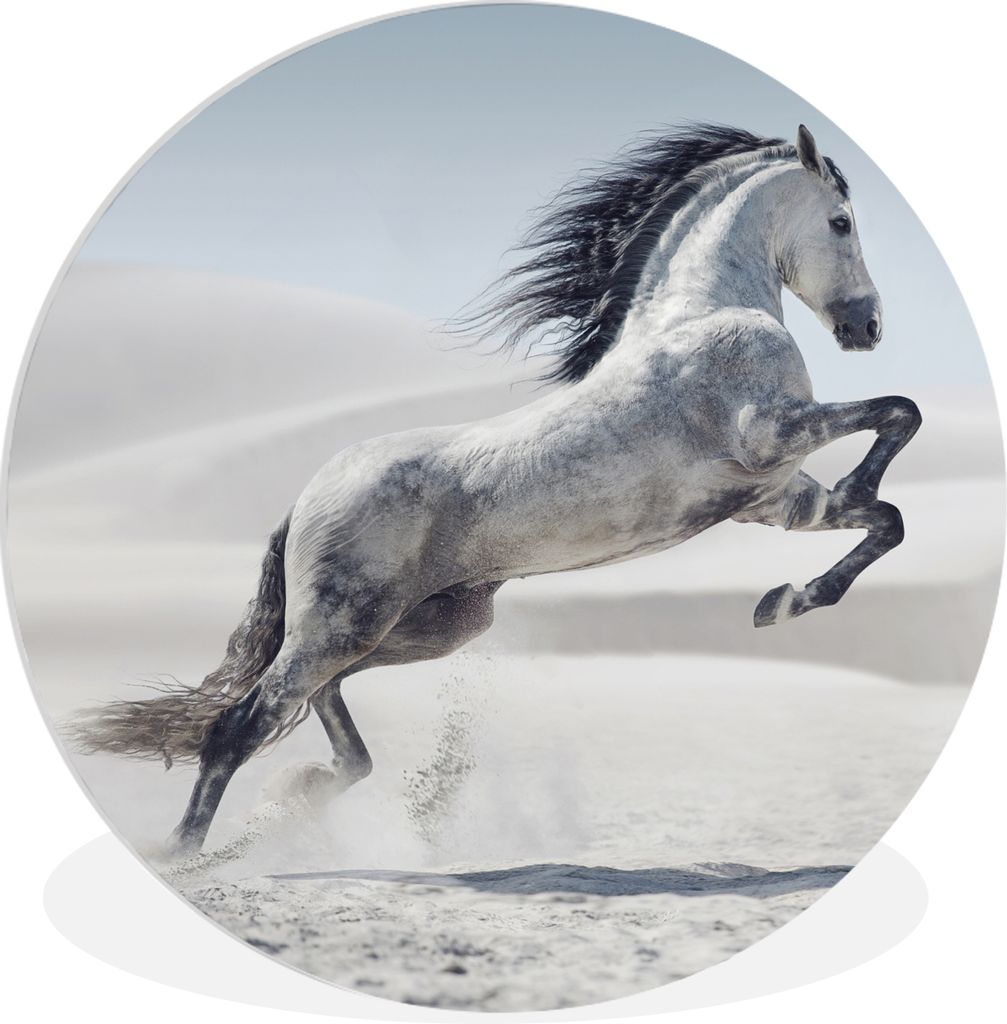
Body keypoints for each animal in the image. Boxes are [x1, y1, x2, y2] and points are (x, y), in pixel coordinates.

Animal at [70, 124, 921, 856]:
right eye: (841, 221)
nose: (867, 328)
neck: (702, 314)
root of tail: (305, 498)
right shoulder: (769, 434)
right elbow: (898, 414)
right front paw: (805, 568)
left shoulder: (774, 499)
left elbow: (885, 519)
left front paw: (783, 601)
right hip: (345, 624)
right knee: (241, 724)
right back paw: (187, 853)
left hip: (423, 627)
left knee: (318, 704)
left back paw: (304, 792)